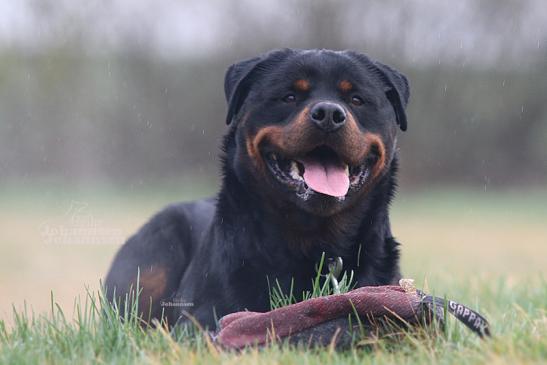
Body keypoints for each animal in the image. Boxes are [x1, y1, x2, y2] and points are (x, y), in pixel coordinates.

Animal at [105, 47, 408, 328]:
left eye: (356, 99)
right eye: (289, 96)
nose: (329, 113)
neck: (317, 239)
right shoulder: (200, 318)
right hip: (154, 255)